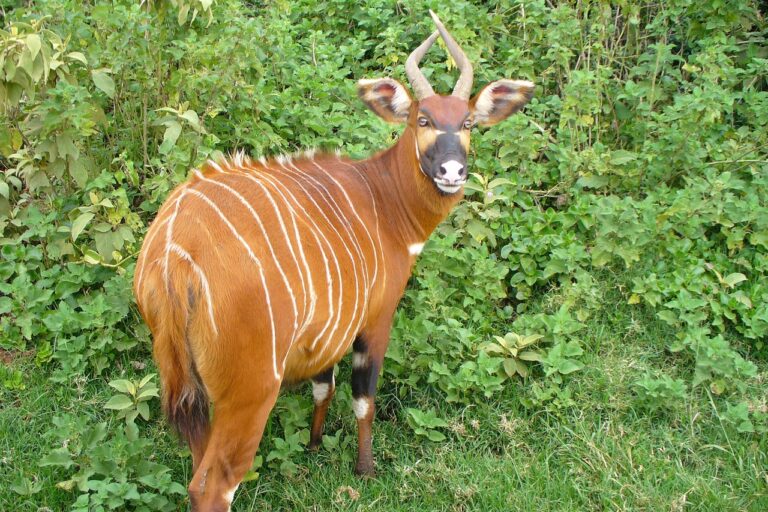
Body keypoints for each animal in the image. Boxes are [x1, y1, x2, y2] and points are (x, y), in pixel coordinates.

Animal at [134, 12, 536, 512]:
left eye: (467, 123)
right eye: (421, 119)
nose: (452, 172)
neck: (383, 199)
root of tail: (172, 257)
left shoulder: (326, 332)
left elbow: (322, 386)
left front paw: (312, 445)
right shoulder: (375, 319)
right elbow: (364, 399)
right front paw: (365, 470)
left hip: (190, 384)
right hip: (250, 391)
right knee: (213, 485)